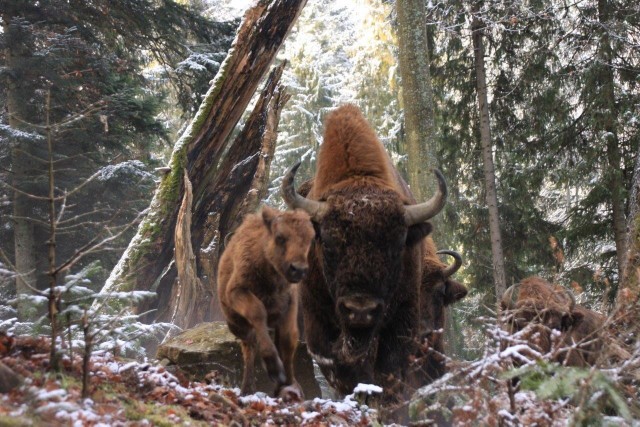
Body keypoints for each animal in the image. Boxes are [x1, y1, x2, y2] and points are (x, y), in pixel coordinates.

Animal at [216, 207, 314, 402]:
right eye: (280, 237)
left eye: (310, 239)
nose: (298, 269)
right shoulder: (237, 292)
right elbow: (258, 313)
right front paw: (274, 369)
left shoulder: (290, 303)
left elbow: (289, 339)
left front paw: (289, 385)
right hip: (235, 324)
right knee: (249, 345)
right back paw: (247, 389)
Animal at [282, 104, 452, 412]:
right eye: (327, 242)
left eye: (397, 245)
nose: (360, 310)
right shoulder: (319, 328)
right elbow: (345, 371)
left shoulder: (402, 323)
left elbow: (390, 375)